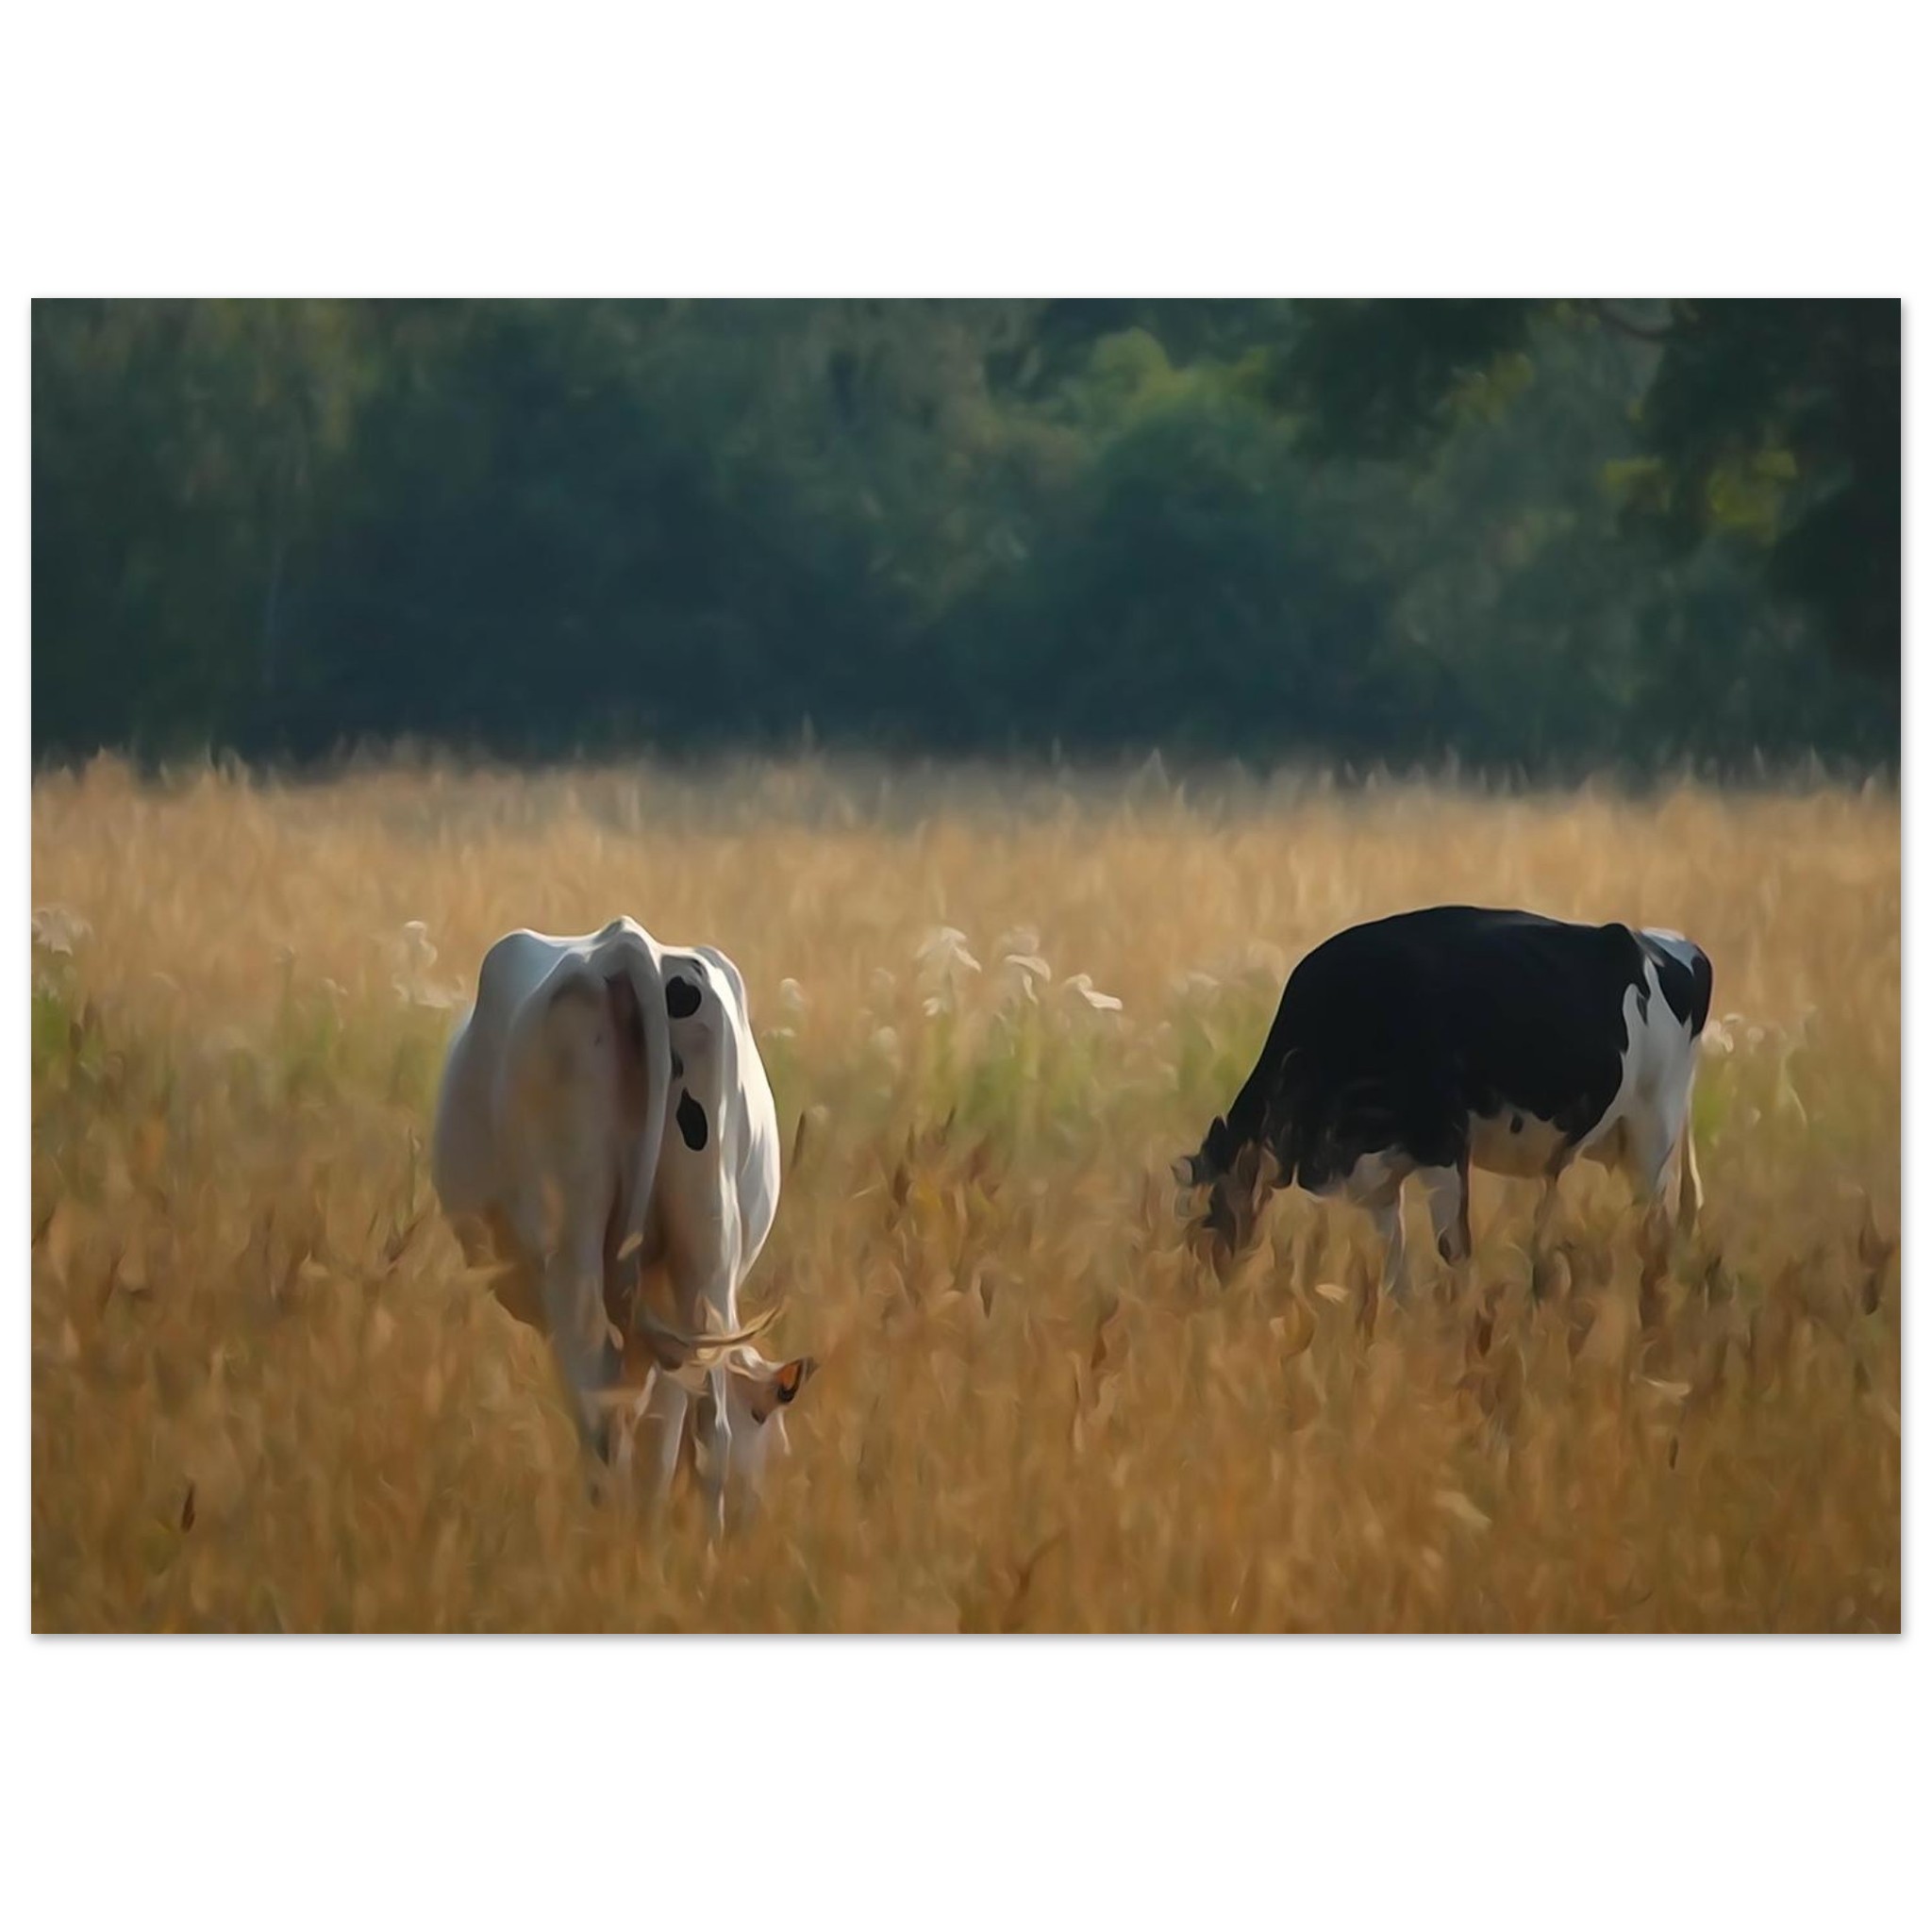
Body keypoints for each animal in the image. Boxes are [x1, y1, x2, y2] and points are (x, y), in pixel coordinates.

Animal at [431, 918, 813, 1529]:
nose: (753, 1522)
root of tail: (628, 945)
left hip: (574, 1258)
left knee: (603, 1414)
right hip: (703, 1258)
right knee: (703, 1424)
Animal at [1175, 906, 1713, 1292]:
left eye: (1207, 1224)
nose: (1203, 1302)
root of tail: (1664, 941)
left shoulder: (1444, 1145)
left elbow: (1454, 1251)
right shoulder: (1377, 1177)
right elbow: (1393, 1271)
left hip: (1653, 1135)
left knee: (1654, 1231)